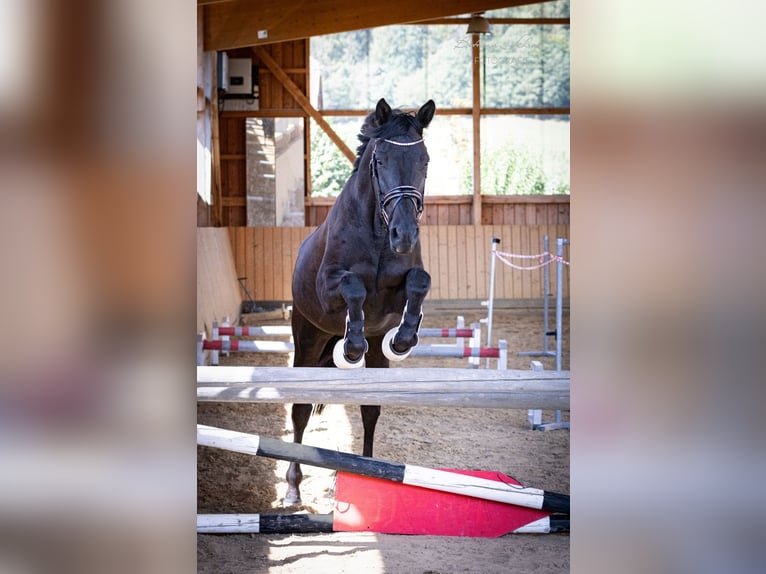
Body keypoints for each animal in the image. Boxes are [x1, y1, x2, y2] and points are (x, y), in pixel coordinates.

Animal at [284, 99, 436, 504]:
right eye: (380, 160)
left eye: (425, 160)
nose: (405, 235)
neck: (379, 229)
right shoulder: (330, 289)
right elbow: (354, 288)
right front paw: (351, 346)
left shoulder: (393, 298)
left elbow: (419, 282)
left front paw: (404, 339)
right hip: (309, 338)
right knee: (300, 410)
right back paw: (292, 488)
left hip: (373, 355)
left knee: (369, 411)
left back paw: (366, 472)